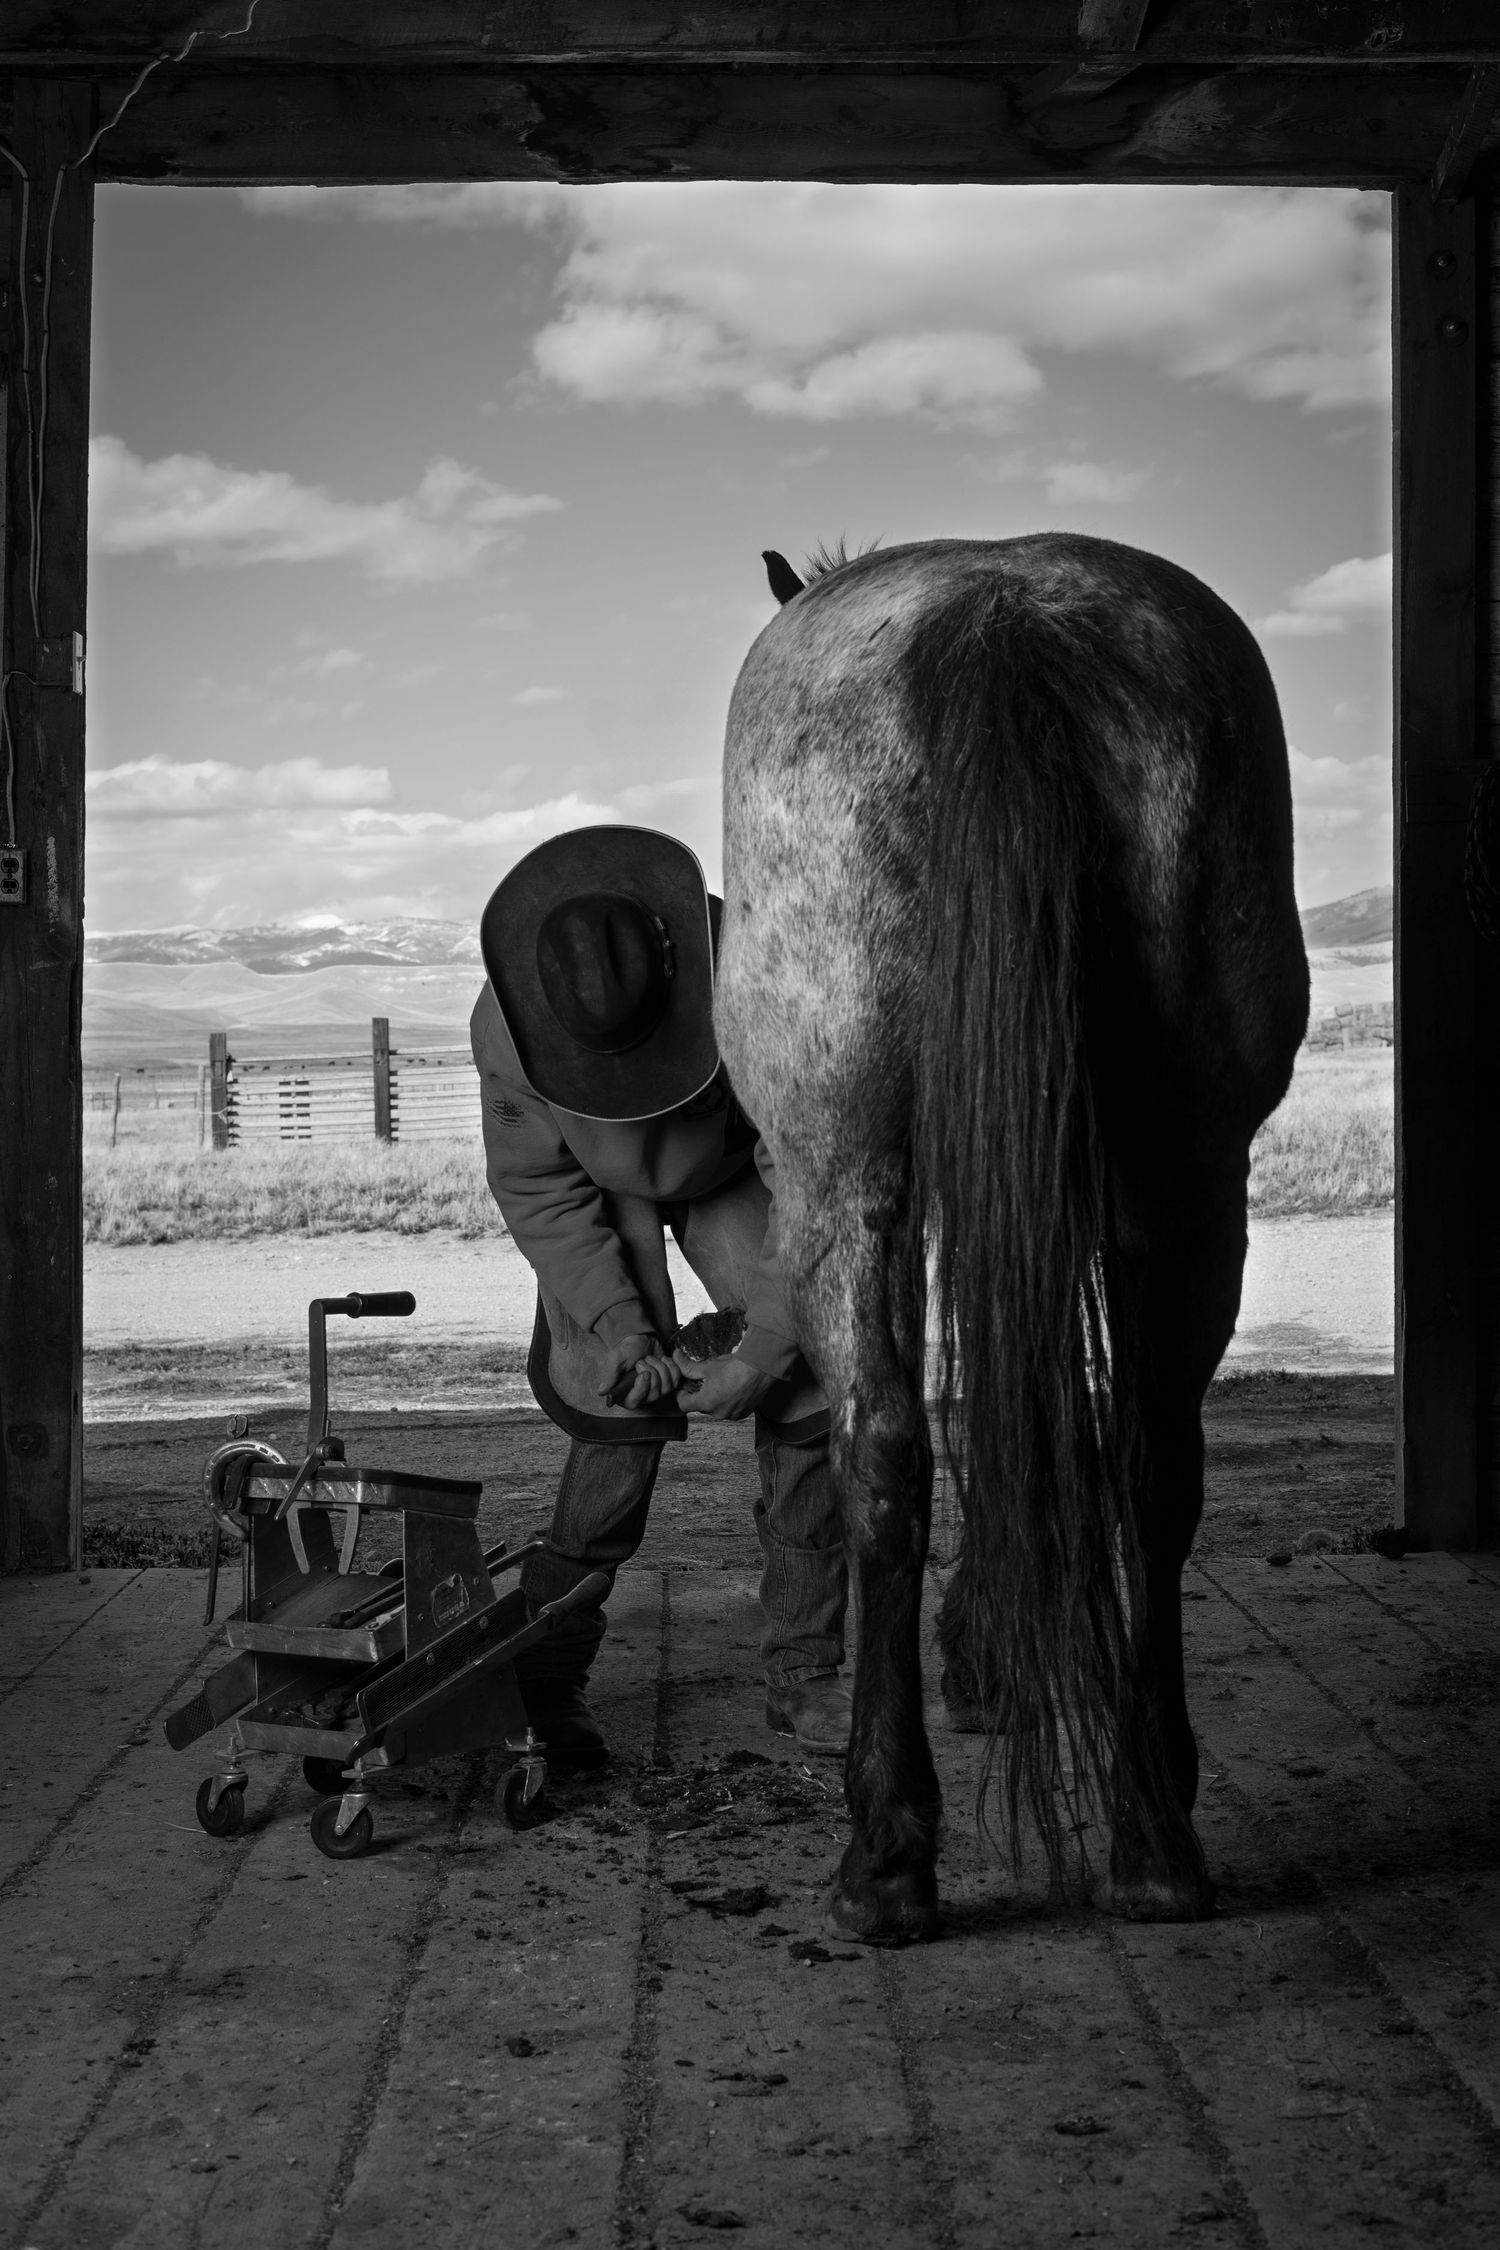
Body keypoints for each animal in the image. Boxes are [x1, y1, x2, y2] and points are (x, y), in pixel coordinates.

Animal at [714, 535, 1309, 1946]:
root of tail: (1003, 625)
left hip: (833, 1174)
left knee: (883, 1443)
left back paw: (886, 1851)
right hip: (1193, 1176)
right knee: (1151, 1459)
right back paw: (1152, 1831)